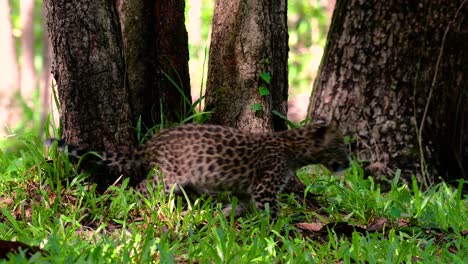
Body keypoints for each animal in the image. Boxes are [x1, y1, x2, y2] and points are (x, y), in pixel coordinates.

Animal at [48, 121, 348, 219]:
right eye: (340, 146)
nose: (349, 163)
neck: (295, 148)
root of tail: (151, 143)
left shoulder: (249, 191)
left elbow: (240, 204)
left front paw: (224, 216)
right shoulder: (265, 189)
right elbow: (272, 211)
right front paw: (279, 232)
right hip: (168, 175)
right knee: (142, 186)